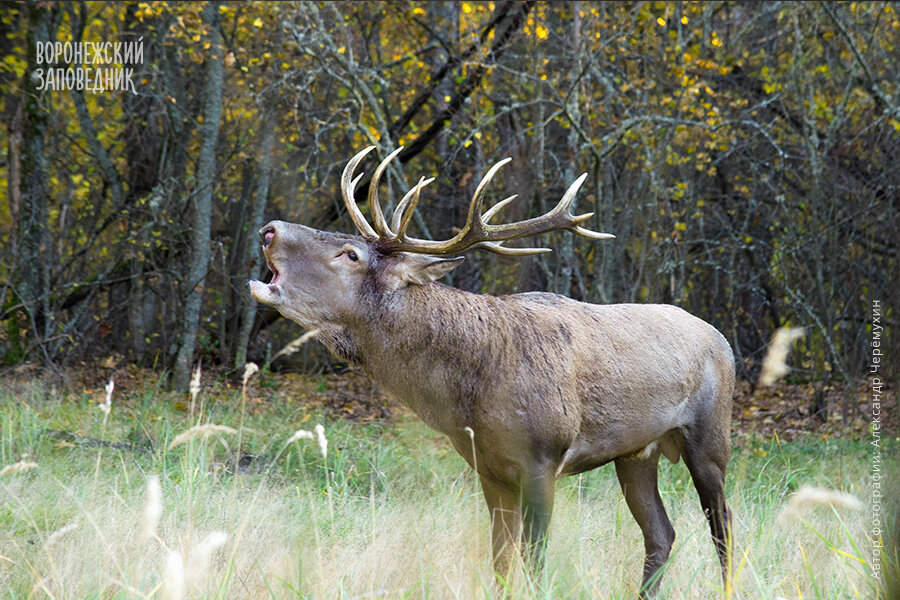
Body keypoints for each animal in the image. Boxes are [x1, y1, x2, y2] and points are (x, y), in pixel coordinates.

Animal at [250, 146, 736, 596]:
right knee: (661, 533)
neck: (468, 398)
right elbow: (501, 562)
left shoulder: (543, 457)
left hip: (710, 437)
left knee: (724, 526)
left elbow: (536, 562)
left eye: (350, 254)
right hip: (636, 453)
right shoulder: (489, 469)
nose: (269, 229)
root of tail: (722, 340)